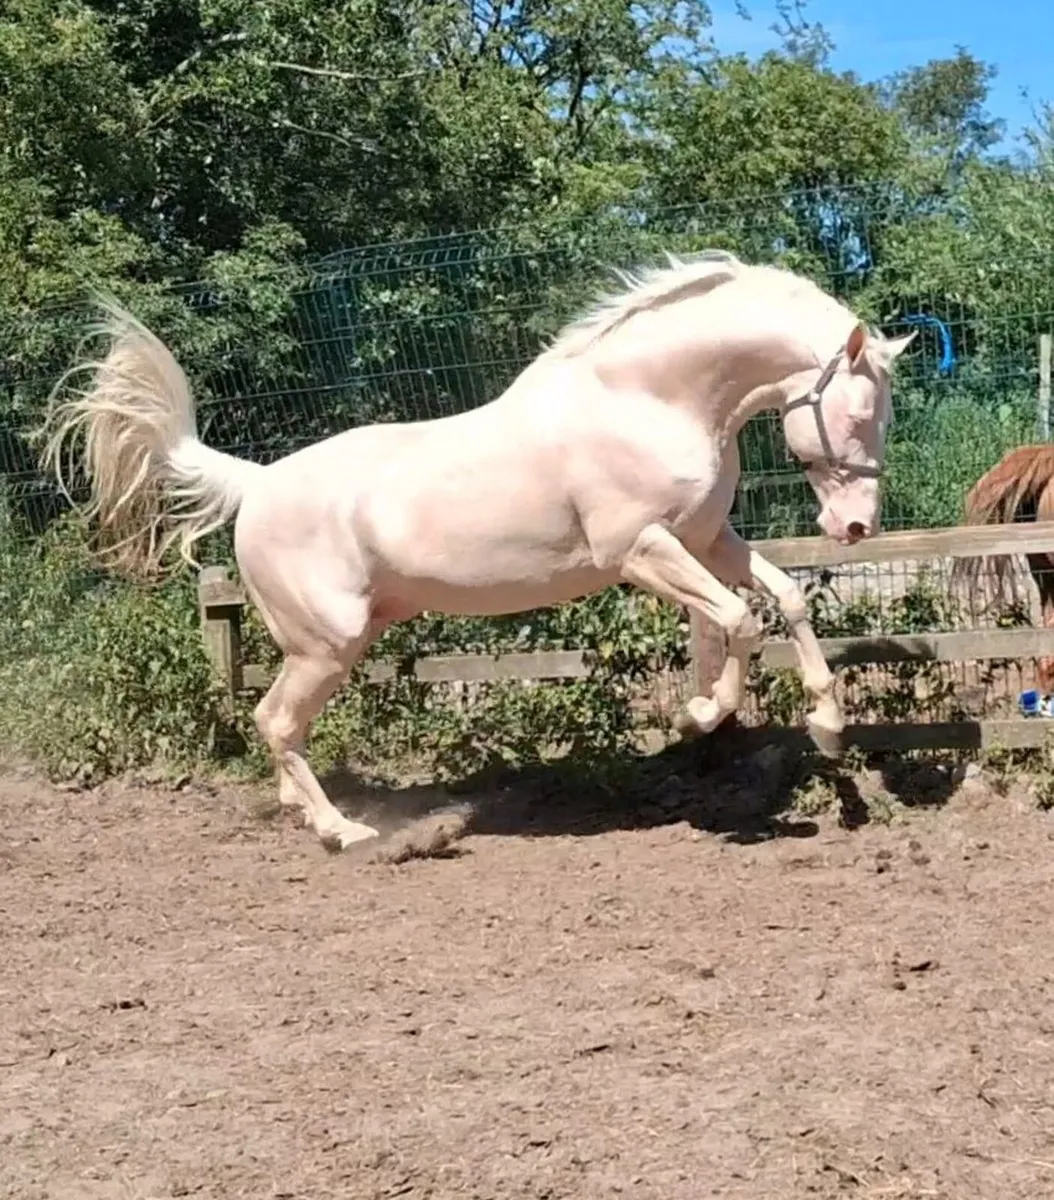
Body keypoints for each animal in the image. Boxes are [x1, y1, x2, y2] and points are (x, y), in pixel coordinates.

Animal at [42, 250, 915, 852]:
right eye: (859, 411)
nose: (856, 528)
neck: (650, 401)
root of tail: (256, 486)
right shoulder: (641, 551)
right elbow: (737, 619)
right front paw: (702, 713)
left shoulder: (708, 536)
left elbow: (783, 599)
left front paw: (828, 724)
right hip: (326, 645)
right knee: (274, 720)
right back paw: (342, 832)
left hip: (337, 642)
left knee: (280, 731)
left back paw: (308, 812)